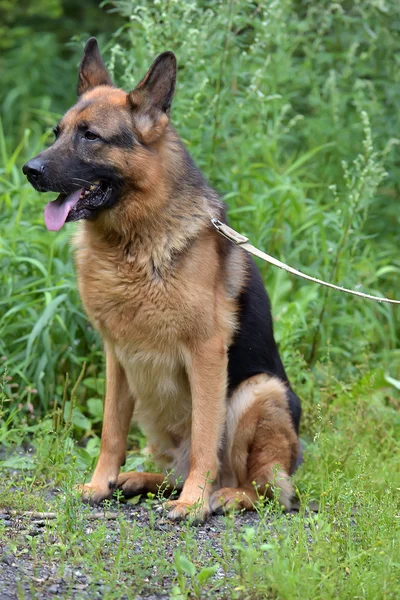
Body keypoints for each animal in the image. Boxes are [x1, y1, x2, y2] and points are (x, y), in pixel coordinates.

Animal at [22, 41, 300, 520]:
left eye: (90, 136)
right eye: (56, 132)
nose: (29, 169)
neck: (131, 243)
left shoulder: (206, 354)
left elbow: (206, 435)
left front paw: (193, 503)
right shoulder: (116, 355)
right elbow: (111, 432)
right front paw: (100, 484)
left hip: (257, 392)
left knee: (263, 490)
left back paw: (221, 495)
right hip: (152, 401)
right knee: (174, 467)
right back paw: (142, 481)